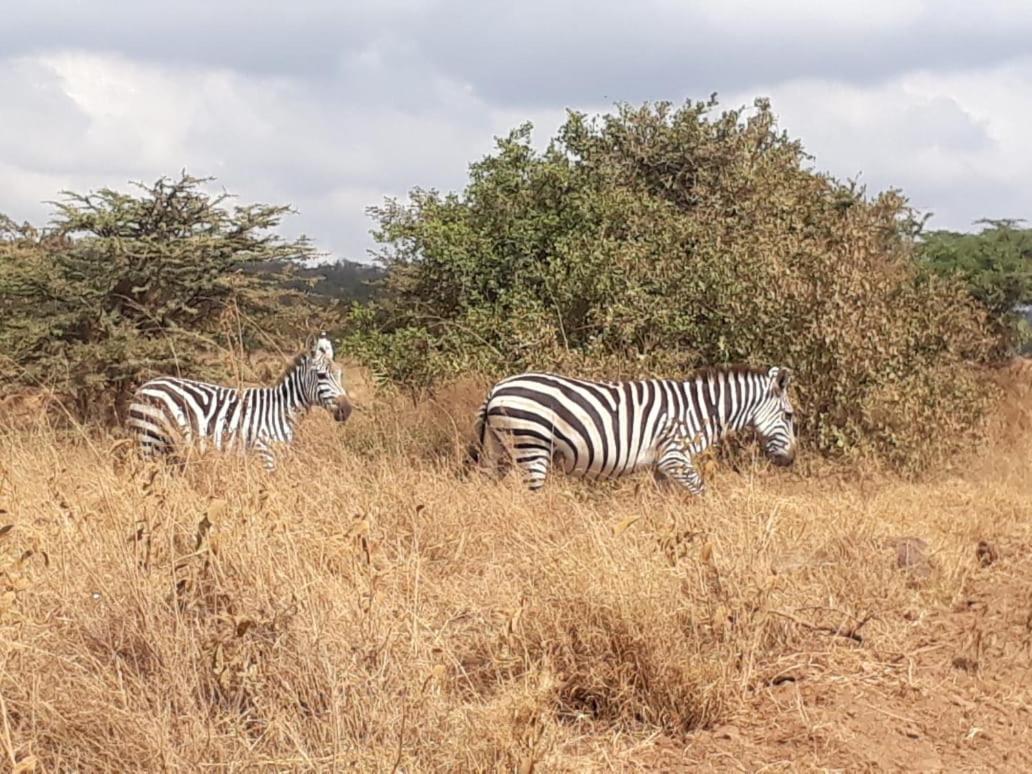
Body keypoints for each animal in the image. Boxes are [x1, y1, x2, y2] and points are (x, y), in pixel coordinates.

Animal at [123, 334, 350, 472]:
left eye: (340, 375)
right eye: (321, 375)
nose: (346, 410)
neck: (281, 409)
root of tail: (143, 387)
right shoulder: (265, 453)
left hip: (162, 445)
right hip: (150, 440)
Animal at [470, 365, 796, 497]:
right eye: (789, 416)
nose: (790, 460)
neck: (702, 411)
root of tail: (497, 388)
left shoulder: (662, 466)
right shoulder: (675, 456)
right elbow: (702, 492)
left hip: (496, 448)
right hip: (532, 446)